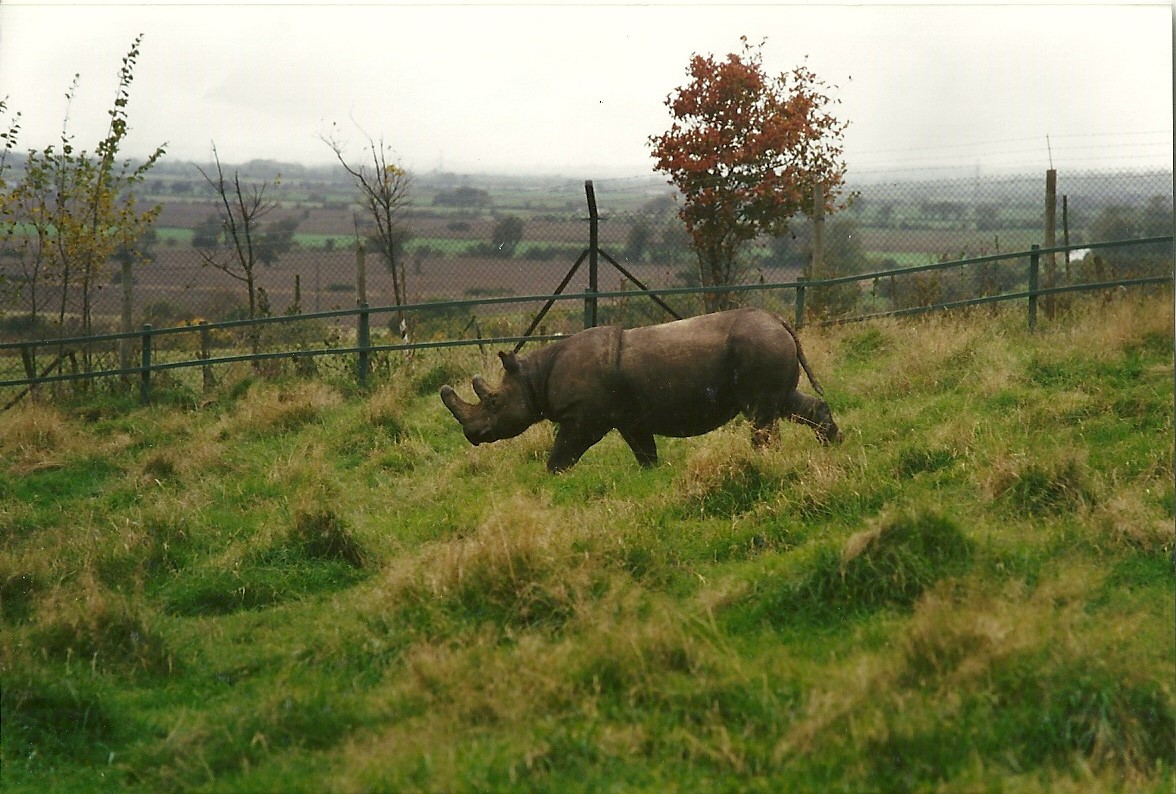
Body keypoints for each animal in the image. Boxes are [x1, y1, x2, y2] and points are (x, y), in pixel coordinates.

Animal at [440, 307, 841, 473]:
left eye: (493, 402)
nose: (472, 435)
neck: (533, 377)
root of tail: (780, 321)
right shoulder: (629, 417)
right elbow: (644, 450)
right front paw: (651, 475)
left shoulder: (582, 417)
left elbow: (564, 451)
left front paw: (552, 477)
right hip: (767, 344)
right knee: (784, 403)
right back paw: (833, 446)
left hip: (758, 344)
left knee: (761, 412)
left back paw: (761, 460)